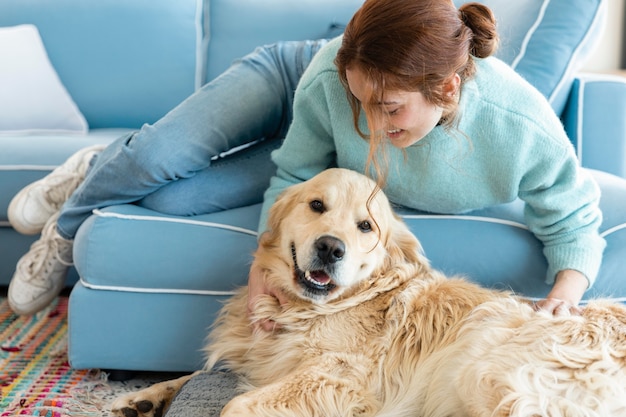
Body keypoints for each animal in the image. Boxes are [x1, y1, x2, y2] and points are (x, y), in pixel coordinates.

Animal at [112, 167, 624, 414]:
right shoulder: (262, 357)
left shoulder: (340, 376)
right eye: (316, 205)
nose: (330, 248)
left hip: (491, 368)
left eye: (365, 227)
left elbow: (234, 404)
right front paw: (140, 399)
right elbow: (192, 376)